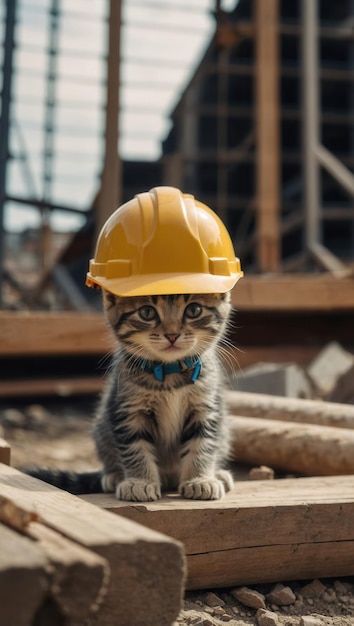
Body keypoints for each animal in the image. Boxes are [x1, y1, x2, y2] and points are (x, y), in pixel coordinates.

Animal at [25, 290, 235, 500]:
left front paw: (200, 479)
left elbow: (203, 444)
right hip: (102, 426)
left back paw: (219, 474)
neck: (168, 374)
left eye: (194, 310)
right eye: (147, 313)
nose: (172, 335)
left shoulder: (206, 407)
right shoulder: (128, 410)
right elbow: (135, 448)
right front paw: (140, 482)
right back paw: (114, 476)